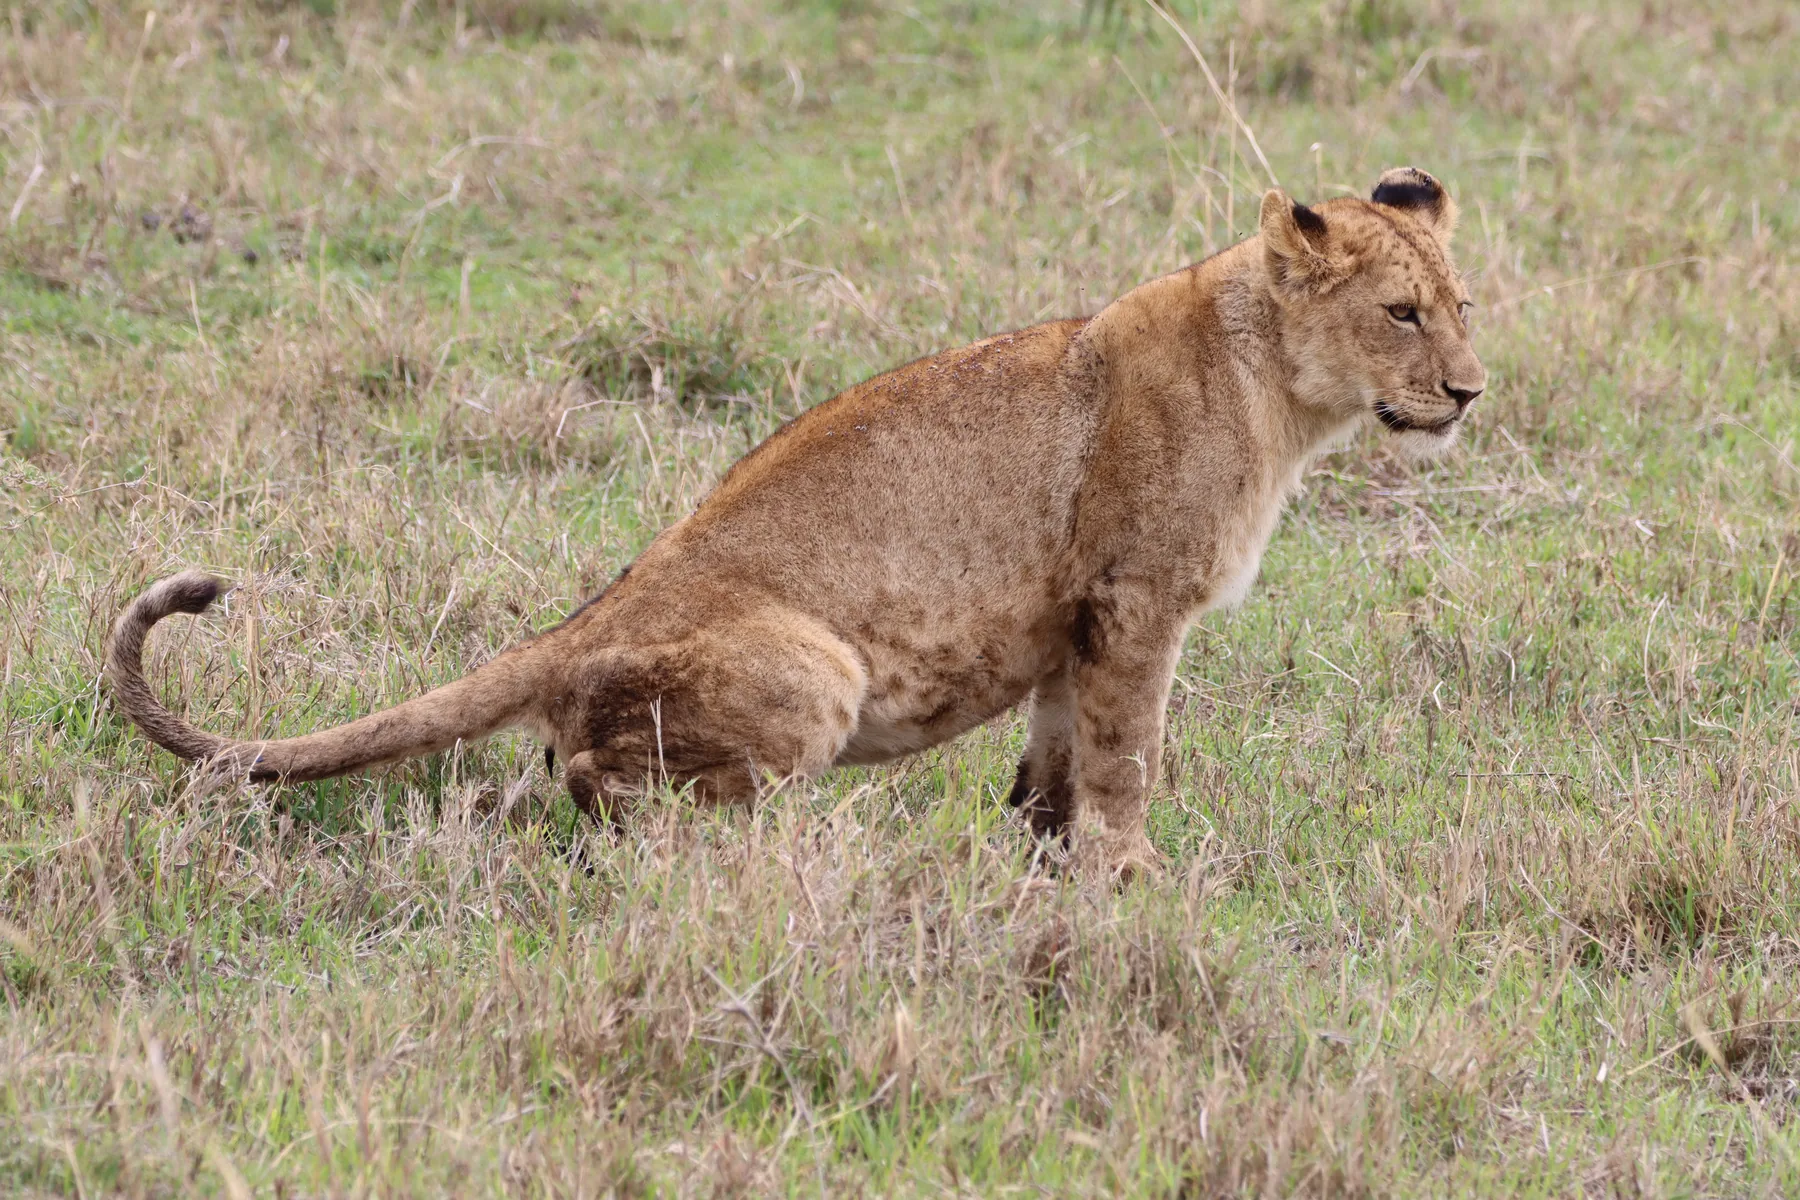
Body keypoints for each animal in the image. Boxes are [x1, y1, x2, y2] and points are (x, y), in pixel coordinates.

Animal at [107, 166, 1485, 877]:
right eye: (1401, 313)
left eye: (1462, 305)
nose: (1470, 392)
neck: (1282, 393)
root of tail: (573, 626)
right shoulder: (1137, 605)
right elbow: (1127, 763)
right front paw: (1138, 885)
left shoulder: (1071, 624)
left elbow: (1051, 778)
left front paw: (1044, 878)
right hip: (816, 666)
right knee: (600, 789)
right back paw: (790, 855)